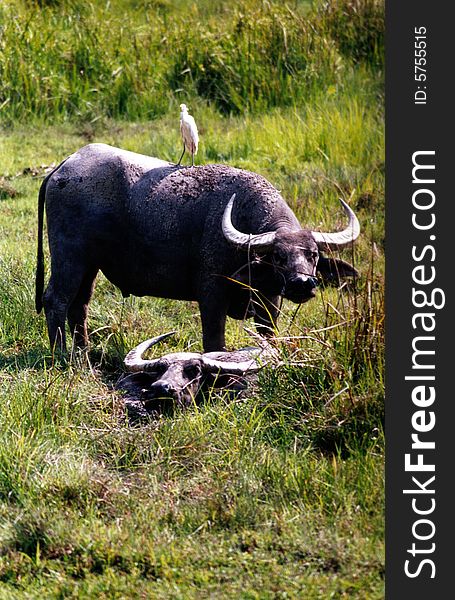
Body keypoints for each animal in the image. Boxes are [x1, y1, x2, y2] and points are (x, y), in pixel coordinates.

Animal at [35, 142, 360, 352]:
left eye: (314, 255)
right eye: (278, 256)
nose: (302, 283)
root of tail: (63, 167)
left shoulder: (270, 303)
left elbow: (268, 336)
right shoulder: (211, 295)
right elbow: (214, 342)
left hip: (90, 265)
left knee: (80, 305)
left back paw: (83, 352)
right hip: (69, 258)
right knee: (56, 300)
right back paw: (61, 356)